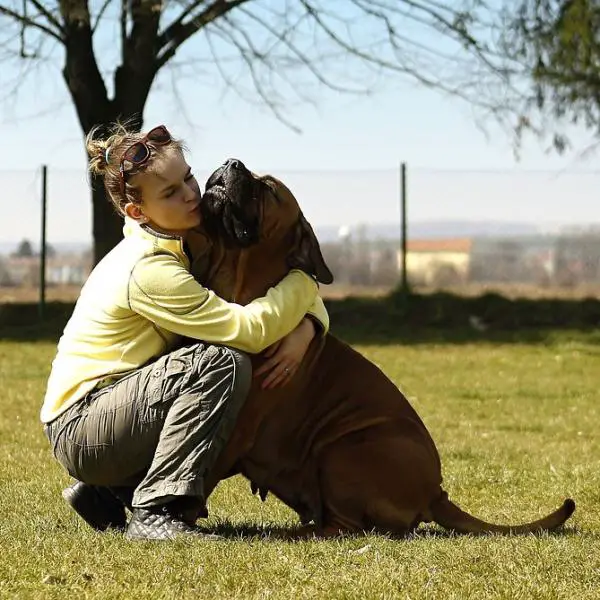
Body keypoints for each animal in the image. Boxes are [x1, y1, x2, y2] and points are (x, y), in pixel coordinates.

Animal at [189, 157, 576, 536]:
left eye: (268, 188)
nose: (231, 162)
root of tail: (436, 493)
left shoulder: (235, 429)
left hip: (341, 450)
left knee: (345, 527)